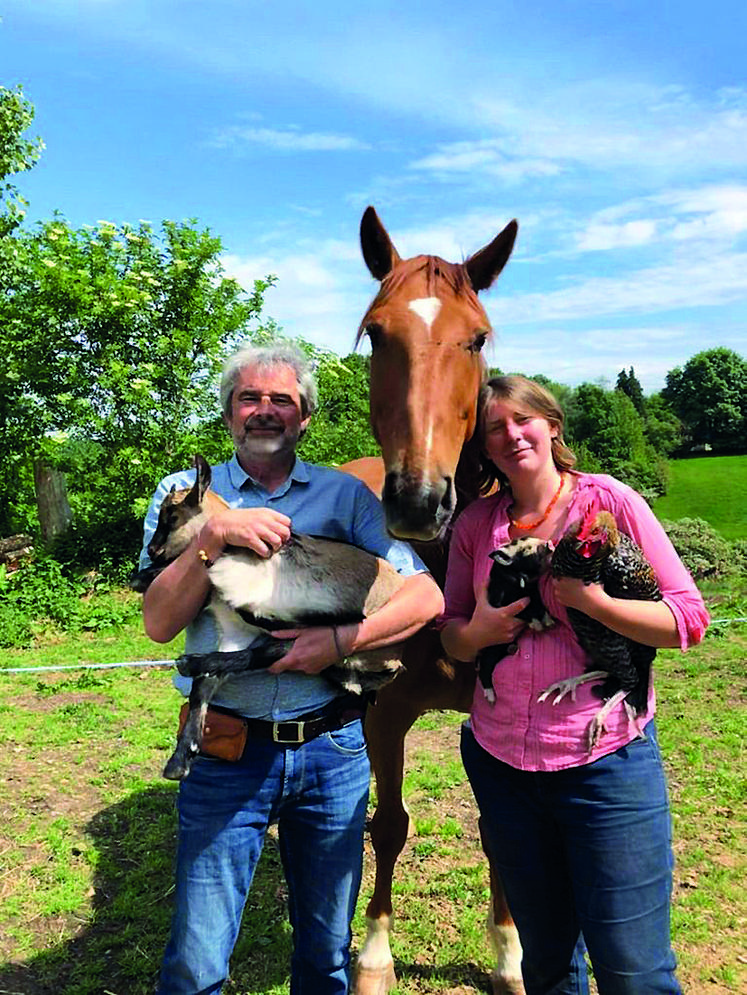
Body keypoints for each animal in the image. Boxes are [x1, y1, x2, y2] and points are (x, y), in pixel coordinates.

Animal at [131, 456, 406, 784]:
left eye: (172, 516)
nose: (151, 551)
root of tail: (395, 659)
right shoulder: (236, 630)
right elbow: (206, 683)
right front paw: (180, 760)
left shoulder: (305, 620)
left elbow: (255, 653)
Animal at [480, 540, 556, 704]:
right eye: (526, 549)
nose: (548, 543)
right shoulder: (504, 603)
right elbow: (525, 611)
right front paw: (539, 627)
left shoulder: (535, 595)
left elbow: (541, 607)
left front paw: (550, 623)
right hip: (490, 651)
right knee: (484, 670)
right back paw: (491, 699)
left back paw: (513, 648)